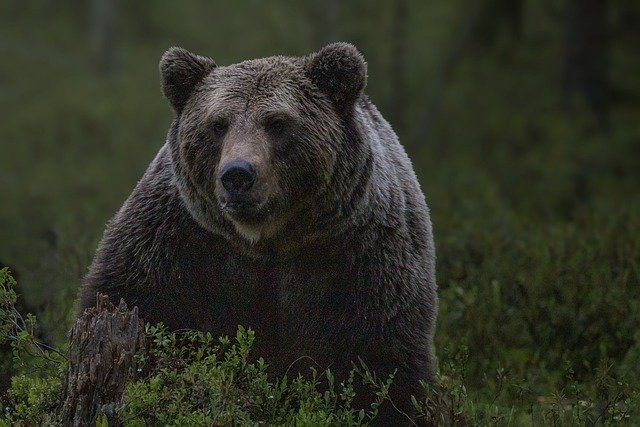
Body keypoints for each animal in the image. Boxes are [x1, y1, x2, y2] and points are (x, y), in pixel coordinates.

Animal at [78, 42, 438, 425]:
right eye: (218, 124)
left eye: (277, 123)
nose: (237, 175)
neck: (267, 239)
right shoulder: (177, 242)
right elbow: (138, 301)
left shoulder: (359, 257)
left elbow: (382, 362)